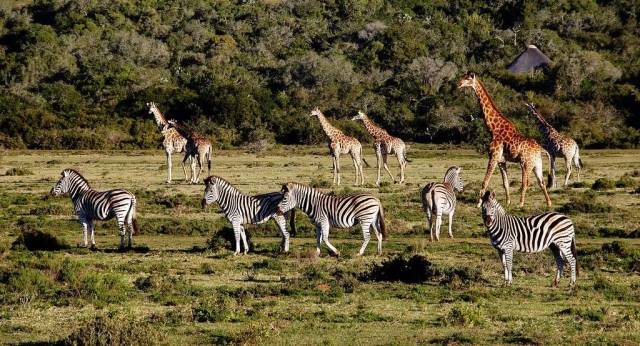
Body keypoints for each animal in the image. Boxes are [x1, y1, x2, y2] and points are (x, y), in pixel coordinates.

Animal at [458, 72, 552, 207]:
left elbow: (485, 181)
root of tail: (540, 149)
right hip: (537, 164)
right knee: (542, 182)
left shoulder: (493, 156)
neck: (493, 128)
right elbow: (505, 183)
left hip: (525, 163)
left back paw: (521, 204)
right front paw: (508, 202)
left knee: (526, 182)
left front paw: (479, 204)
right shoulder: (501, 160)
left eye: (467, 79)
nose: (459, 83)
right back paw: (548, 203)